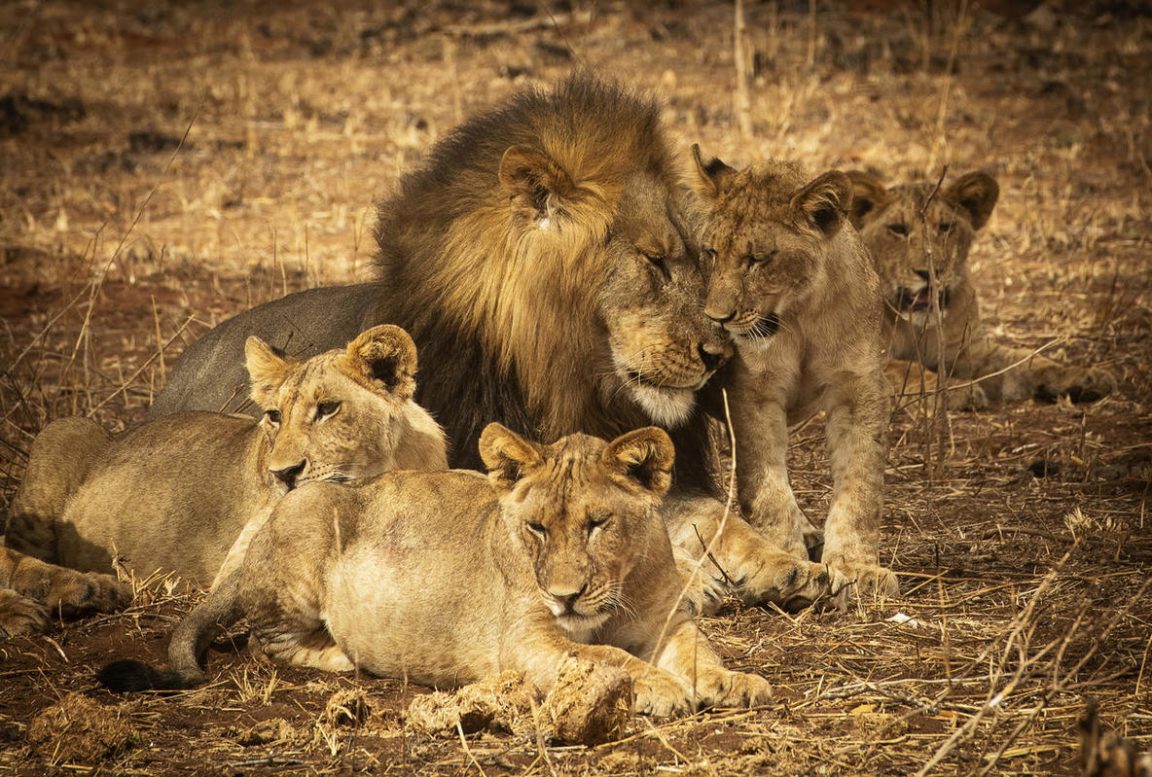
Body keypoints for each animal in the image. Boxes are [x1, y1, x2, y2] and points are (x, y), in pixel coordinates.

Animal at [1, 325, 446, 637]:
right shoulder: (242, 562)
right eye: (275, 416)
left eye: (328, 409)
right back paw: (74, 592)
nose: (283, 474)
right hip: (61, 429)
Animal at [99, 424, 772, 718]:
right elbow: (602, 656)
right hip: (309, 524)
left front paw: (732, 682)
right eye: (536, 528)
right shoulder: (526, 641)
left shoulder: (666, 619)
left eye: (597, 524)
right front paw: (660, 689)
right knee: (271, 639)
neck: (621, 588)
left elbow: (697, 650)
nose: (565, 597)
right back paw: (346, 654)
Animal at [144, 76, 835, 612]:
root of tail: (173, 375)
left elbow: (710, 516)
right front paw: (693, 583)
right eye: (656, 261)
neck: (569, 380)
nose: (722, 356)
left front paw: (790, 563)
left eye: (701, 259)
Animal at [690, 147, 898, 601]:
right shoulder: (752, 392)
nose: (716, 318)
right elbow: (766, 487)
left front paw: (857, 567)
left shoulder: (858, 387)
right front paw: (787, 561)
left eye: (757, 260)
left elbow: (860, 484)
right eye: (710, 253)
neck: (799, 314)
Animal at [847, 169, 1116, 408]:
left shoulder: (970, 349)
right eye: (897, 229)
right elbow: (906, 368)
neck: (913, 325)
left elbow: (1025, 360)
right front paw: (956, 391)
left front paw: (1082, 376)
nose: (930, 272)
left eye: (945, 227)